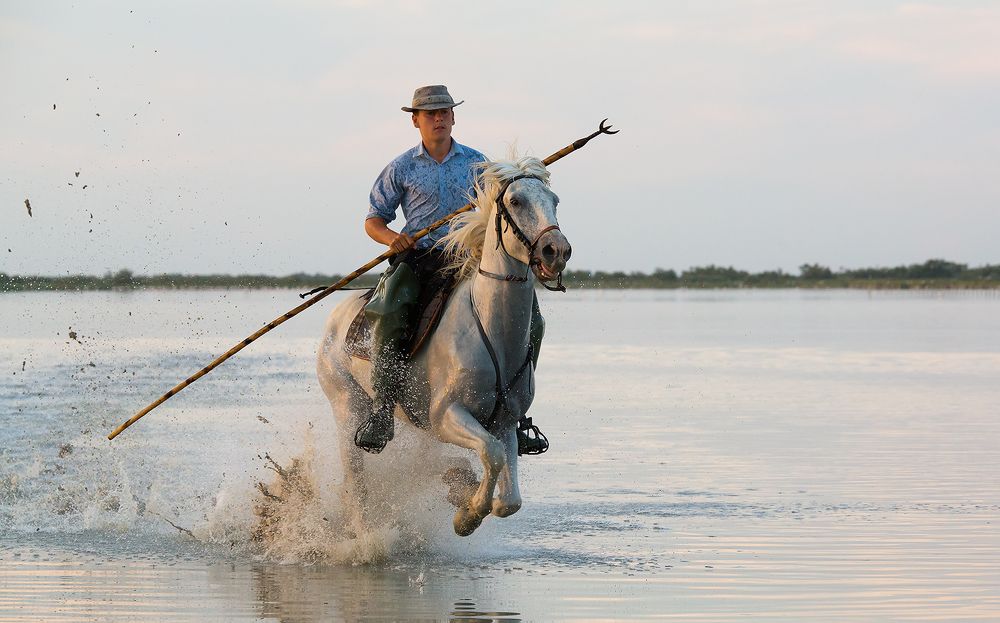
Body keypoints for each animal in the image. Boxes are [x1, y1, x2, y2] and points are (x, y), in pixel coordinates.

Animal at [316, 155, 571, 536]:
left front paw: (464, 494)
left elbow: (510, 497)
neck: (491, 330)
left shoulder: (504, 423)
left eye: (554, 200)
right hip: (347, 406)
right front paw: (467, 516)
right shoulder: (445, 415)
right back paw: (367, 536)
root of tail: (335, 317)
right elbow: (492, 454)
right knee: (355, 483)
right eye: (515, 201)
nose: (557, 251)